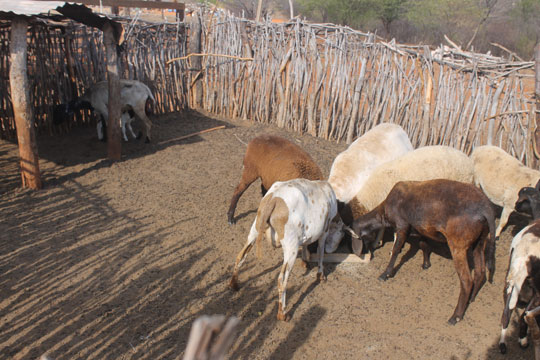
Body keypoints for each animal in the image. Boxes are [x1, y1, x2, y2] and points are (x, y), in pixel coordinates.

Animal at [228, 179, 342, 322]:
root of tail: (273, 200)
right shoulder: (324, 231)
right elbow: (321, 253)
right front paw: (320, 276)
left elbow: (306, 244)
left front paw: (305, 262)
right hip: (290, 246)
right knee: (281, 280)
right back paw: (283, 314)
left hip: (255, 227)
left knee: (240, 256)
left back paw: (234, 285)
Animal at [350, 179, 498, 324]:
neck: (383, 214)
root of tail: (486, 209)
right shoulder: (419, 228)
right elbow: (424, 244)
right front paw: (426, 264)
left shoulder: (402, 226)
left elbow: (396, 250)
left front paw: (385, 274)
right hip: (480, 241)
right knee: (480, 272)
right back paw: (471, 298)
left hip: (458, 245)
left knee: (466, 281)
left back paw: (455, 316)